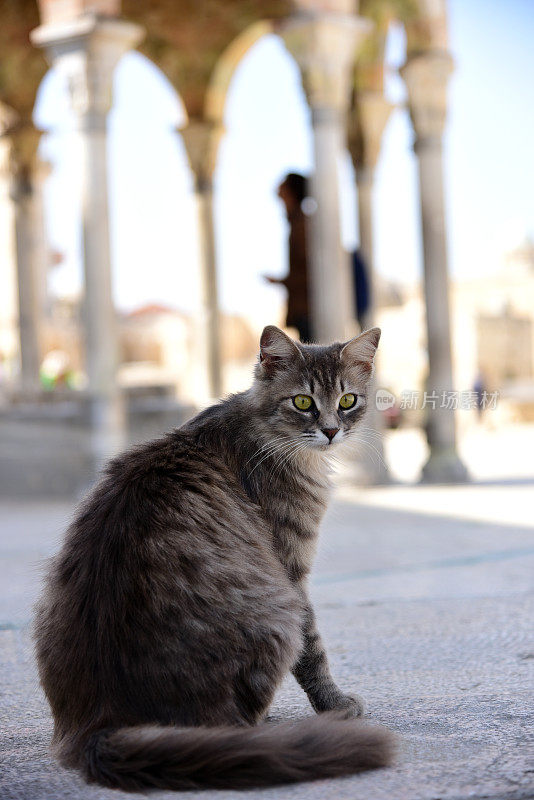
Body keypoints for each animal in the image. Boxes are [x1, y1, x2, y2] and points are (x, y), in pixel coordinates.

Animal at [34, 324, 394, 788]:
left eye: (348, 401)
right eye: (303, 402)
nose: (331, 431)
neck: (262, 430)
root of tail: (101, 723)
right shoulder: (292, 573)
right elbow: (313, 651)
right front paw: (334, 704)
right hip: (278, 616)